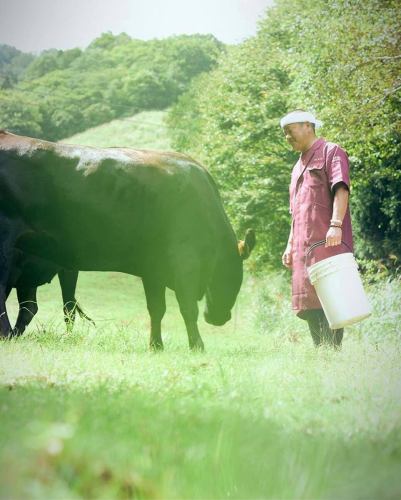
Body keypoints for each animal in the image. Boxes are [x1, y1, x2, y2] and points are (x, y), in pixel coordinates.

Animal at [0, 132, 255, 352]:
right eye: (233, 274)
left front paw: (156, 346)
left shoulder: (155, 269)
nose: (218, 318)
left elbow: (157, 309)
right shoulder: (185, 260)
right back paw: (6, 334)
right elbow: (187, 307)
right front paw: (197, 346)